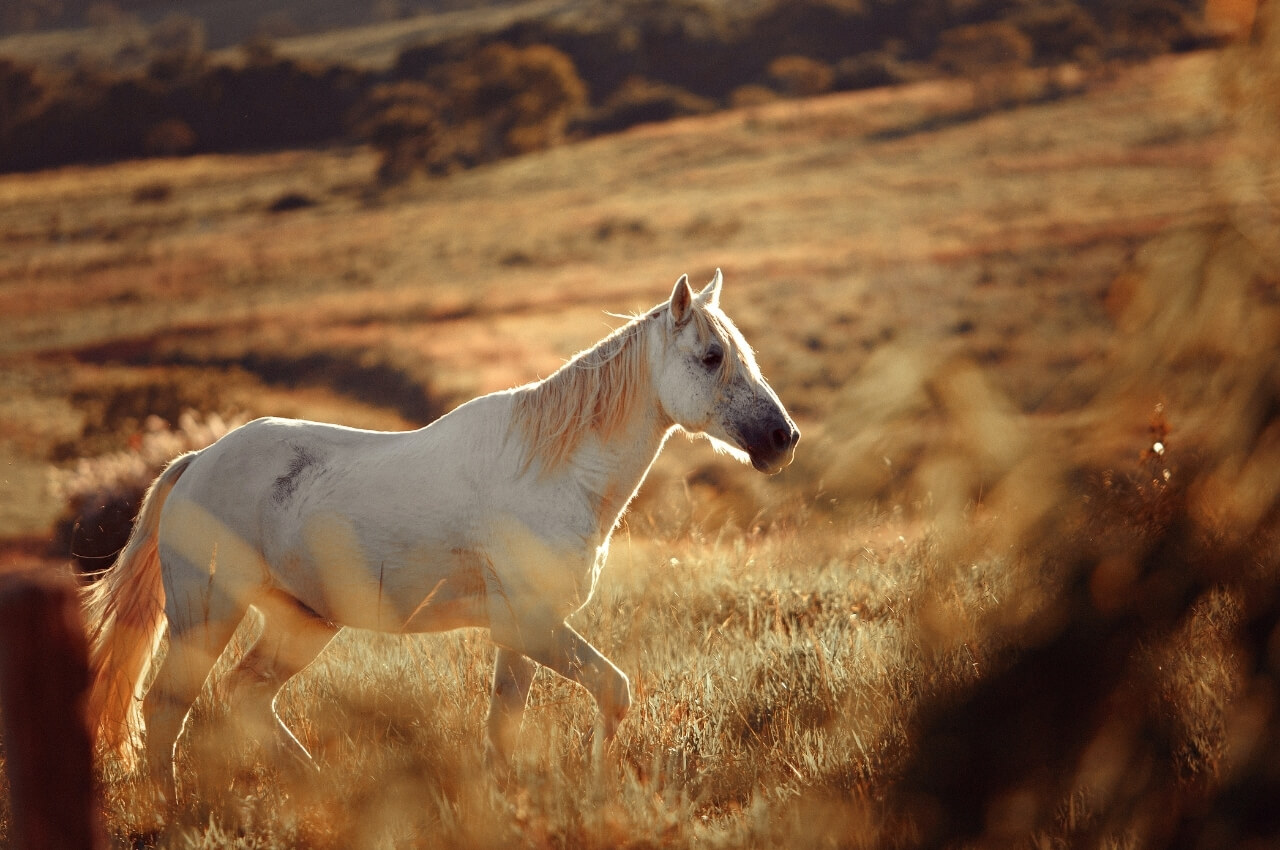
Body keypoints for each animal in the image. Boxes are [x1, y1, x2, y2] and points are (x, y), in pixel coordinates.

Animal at [82, 268, 798, 798]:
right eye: (711, 357)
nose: (781, 440)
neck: (553, 471)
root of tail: (197, 463)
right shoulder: (533, 626)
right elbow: (613, 692)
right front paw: (599, 789)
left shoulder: (519, 635)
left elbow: (503, 730)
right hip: (206, 615)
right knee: (166, 711)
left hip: (301, 623)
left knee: (245, 698)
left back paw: (320, 789)